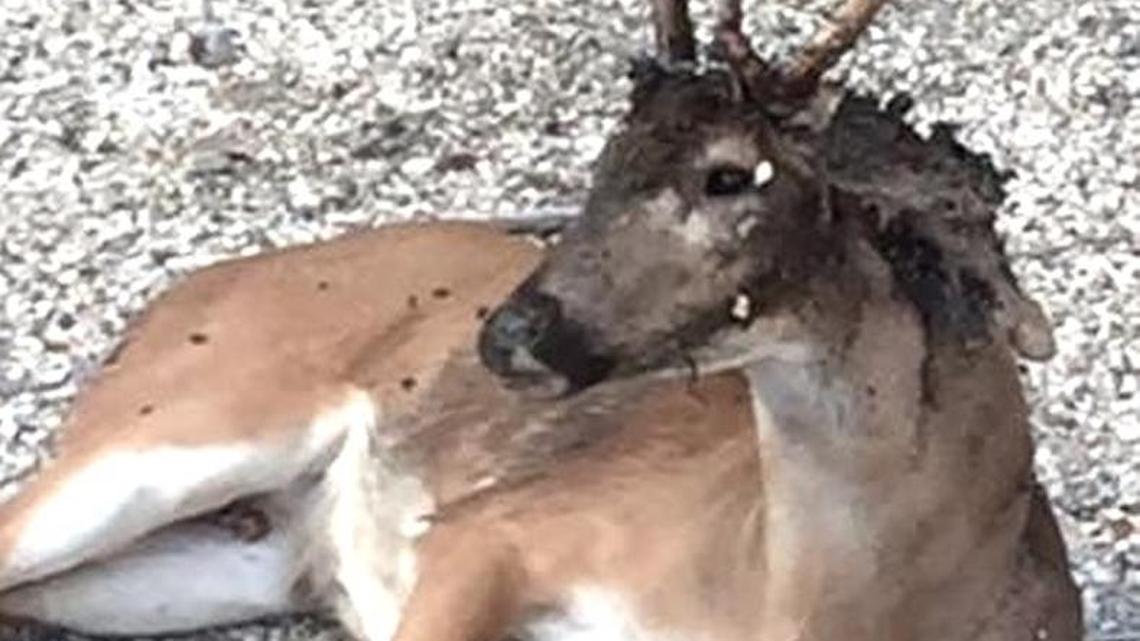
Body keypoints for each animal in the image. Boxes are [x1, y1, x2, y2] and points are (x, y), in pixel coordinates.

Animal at [0, 0, 1082, 640]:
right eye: (606, 156)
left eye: (730, 175)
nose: (508, 332)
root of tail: (176, 298)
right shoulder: (508, 526)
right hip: (187, 419)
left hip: (240, 558)